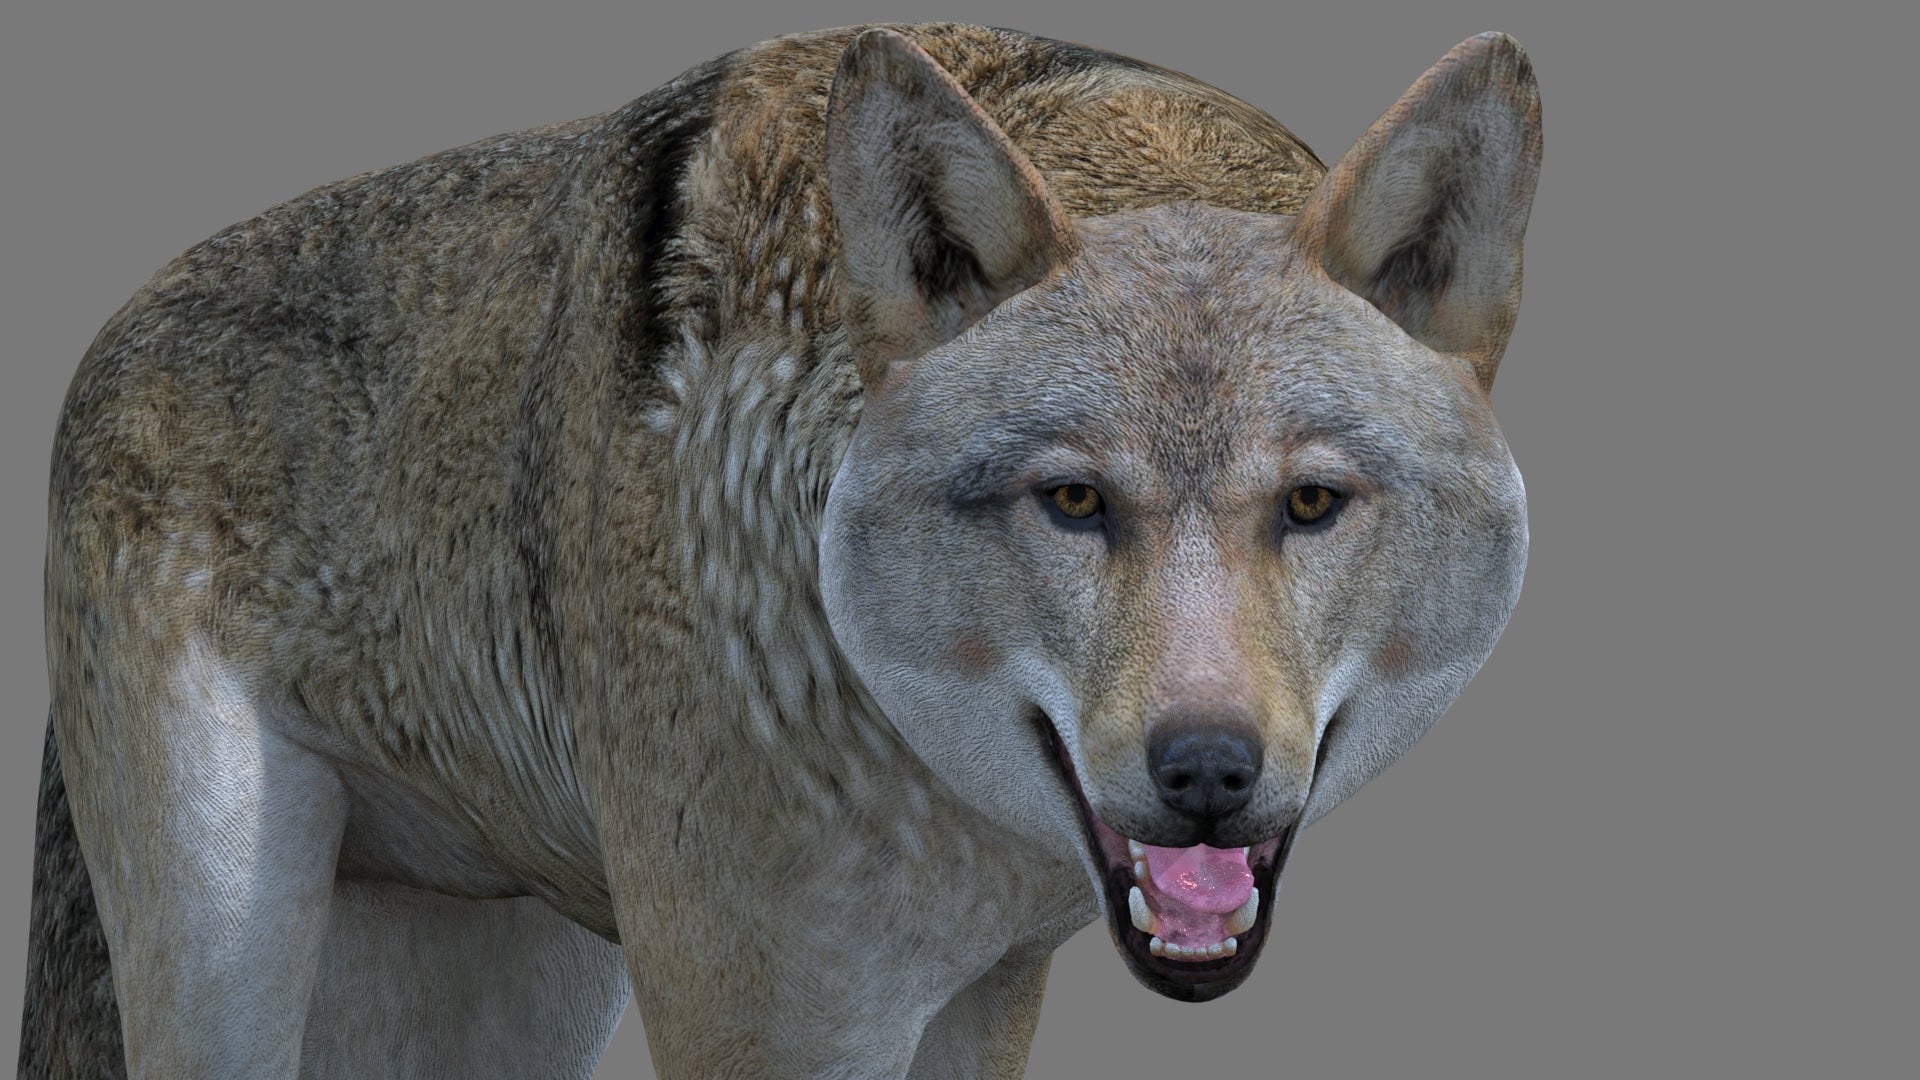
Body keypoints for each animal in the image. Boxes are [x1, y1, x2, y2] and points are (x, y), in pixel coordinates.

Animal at [20, 22, 1541, 1079]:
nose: (1209, 772)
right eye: (1072, 502)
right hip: (227, 979)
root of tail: (108, 334)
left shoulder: (982, 999)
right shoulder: (761, 1026)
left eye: (1311, 505)